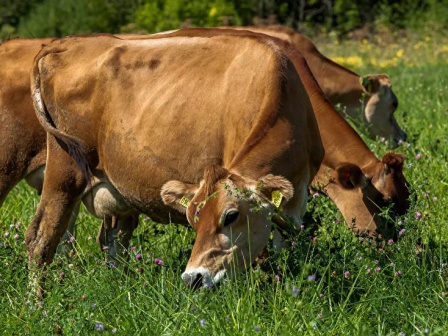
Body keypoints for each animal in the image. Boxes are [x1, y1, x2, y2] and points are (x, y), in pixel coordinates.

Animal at [26, 32, 324, 292]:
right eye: (193, 219)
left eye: (230, 216)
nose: (193, 278)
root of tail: (68, 43)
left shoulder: (294, 206)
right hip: (65, 171)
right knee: (40, 239)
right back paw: (37, 303)